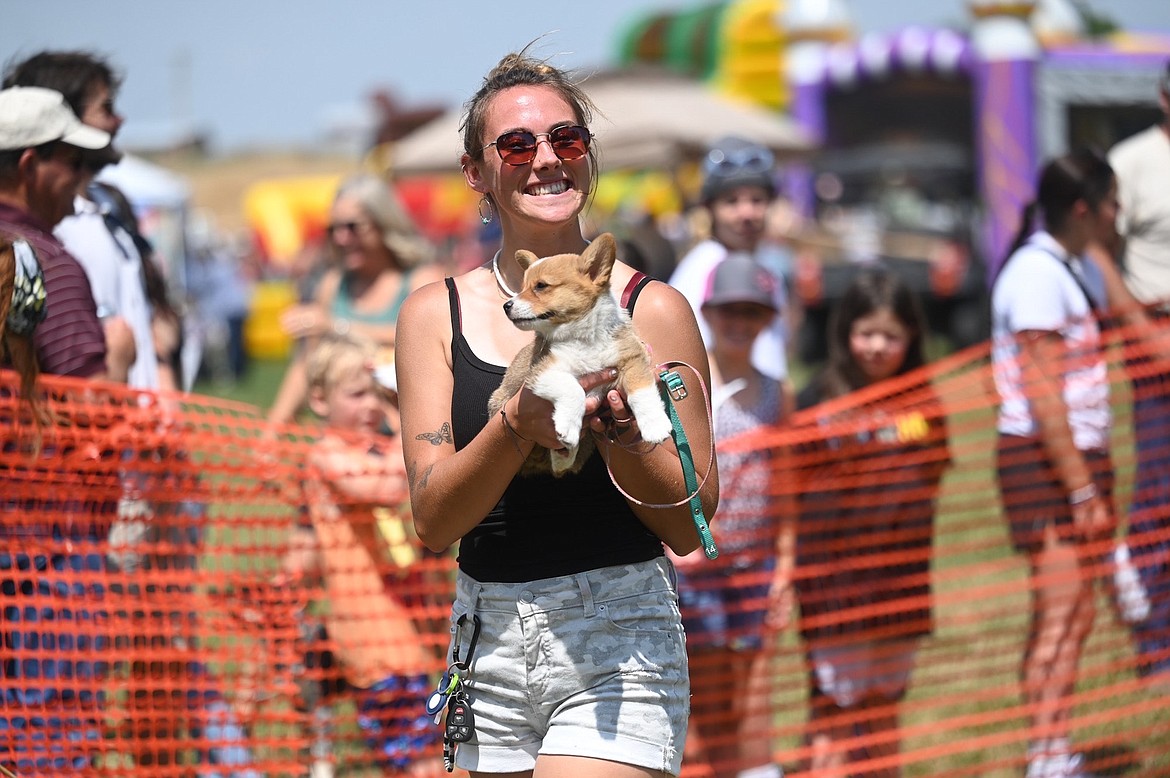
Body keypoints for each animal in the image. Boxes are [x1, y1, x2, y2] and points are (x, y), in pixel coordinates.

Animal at [484, 230, 673, 472]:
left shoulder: (631, 359)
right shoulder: (544, 371)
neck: (583, 336)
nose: (506, 306)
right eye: (522, 287)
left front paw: (655, 426)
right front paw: (568, 427)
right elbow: (573, 389)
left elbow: (642, 392)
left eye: (541, 286)